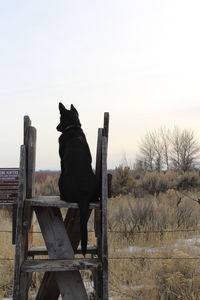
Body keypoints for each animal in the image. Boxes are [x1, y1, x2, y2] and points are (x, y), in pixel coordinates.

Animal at [56, 103, 98, 255]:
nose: (56, 127)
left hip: (60, 179)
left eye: (60, 119)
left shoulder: (61, 161)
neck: (72, 127)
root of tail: (83, 195)